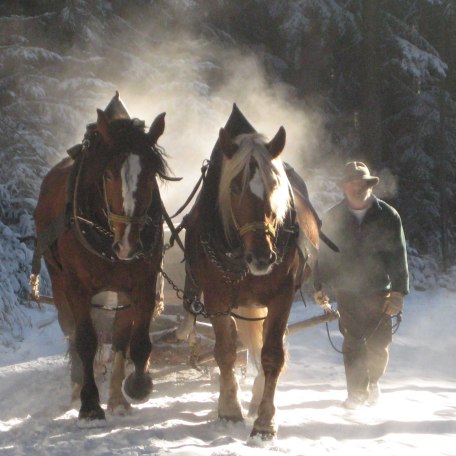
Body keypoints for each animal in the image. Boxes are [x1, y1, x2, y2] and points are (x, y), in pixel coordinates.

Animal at [33, 94, 173, 426]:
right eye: (107, 174)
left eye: (150, 174)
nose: (127, 245)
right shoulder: (77, 287)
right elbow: (85, 340)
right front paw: (89, 404)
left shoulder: (143, 283)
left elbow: (137, 340)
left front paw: (136, 386)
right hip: (59, 283)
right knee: (71, 331)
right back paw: (77, 387)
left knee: (119, 337)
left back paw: (117, 398)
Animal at [182, 106, 320, 438]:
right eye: (234, 186)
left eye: (276, 186)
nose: (262, 257)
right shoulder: (217, 298)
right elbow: (225, 350)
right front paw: (229, 409)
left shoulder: (282, 297)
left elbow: (272, 354)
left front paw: (265, 420)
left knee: (264, 345)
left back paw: (258, 397)